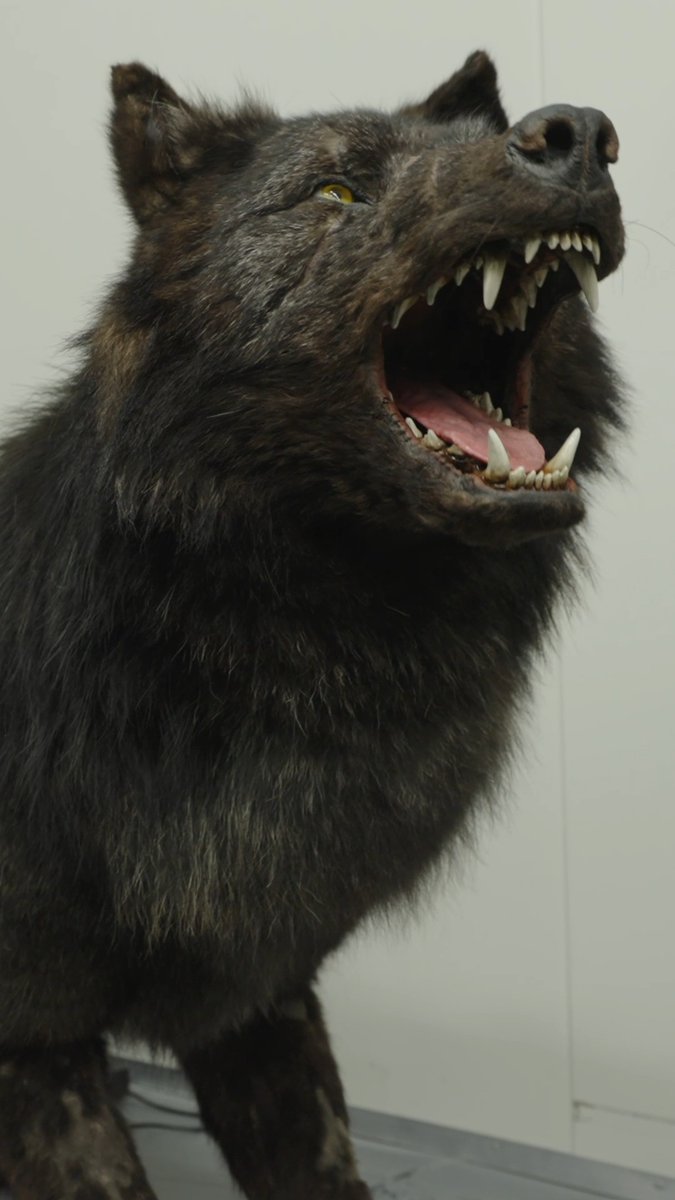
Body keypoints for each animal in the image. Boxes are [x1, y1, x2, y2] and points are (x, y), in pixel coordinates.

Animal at [0, 49, 623, 1200]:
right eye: (335, 191)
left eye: (491, 136)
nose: (579, 134)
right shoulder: (39, 1041)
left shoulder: (261, 990)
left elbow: (321, 1163)